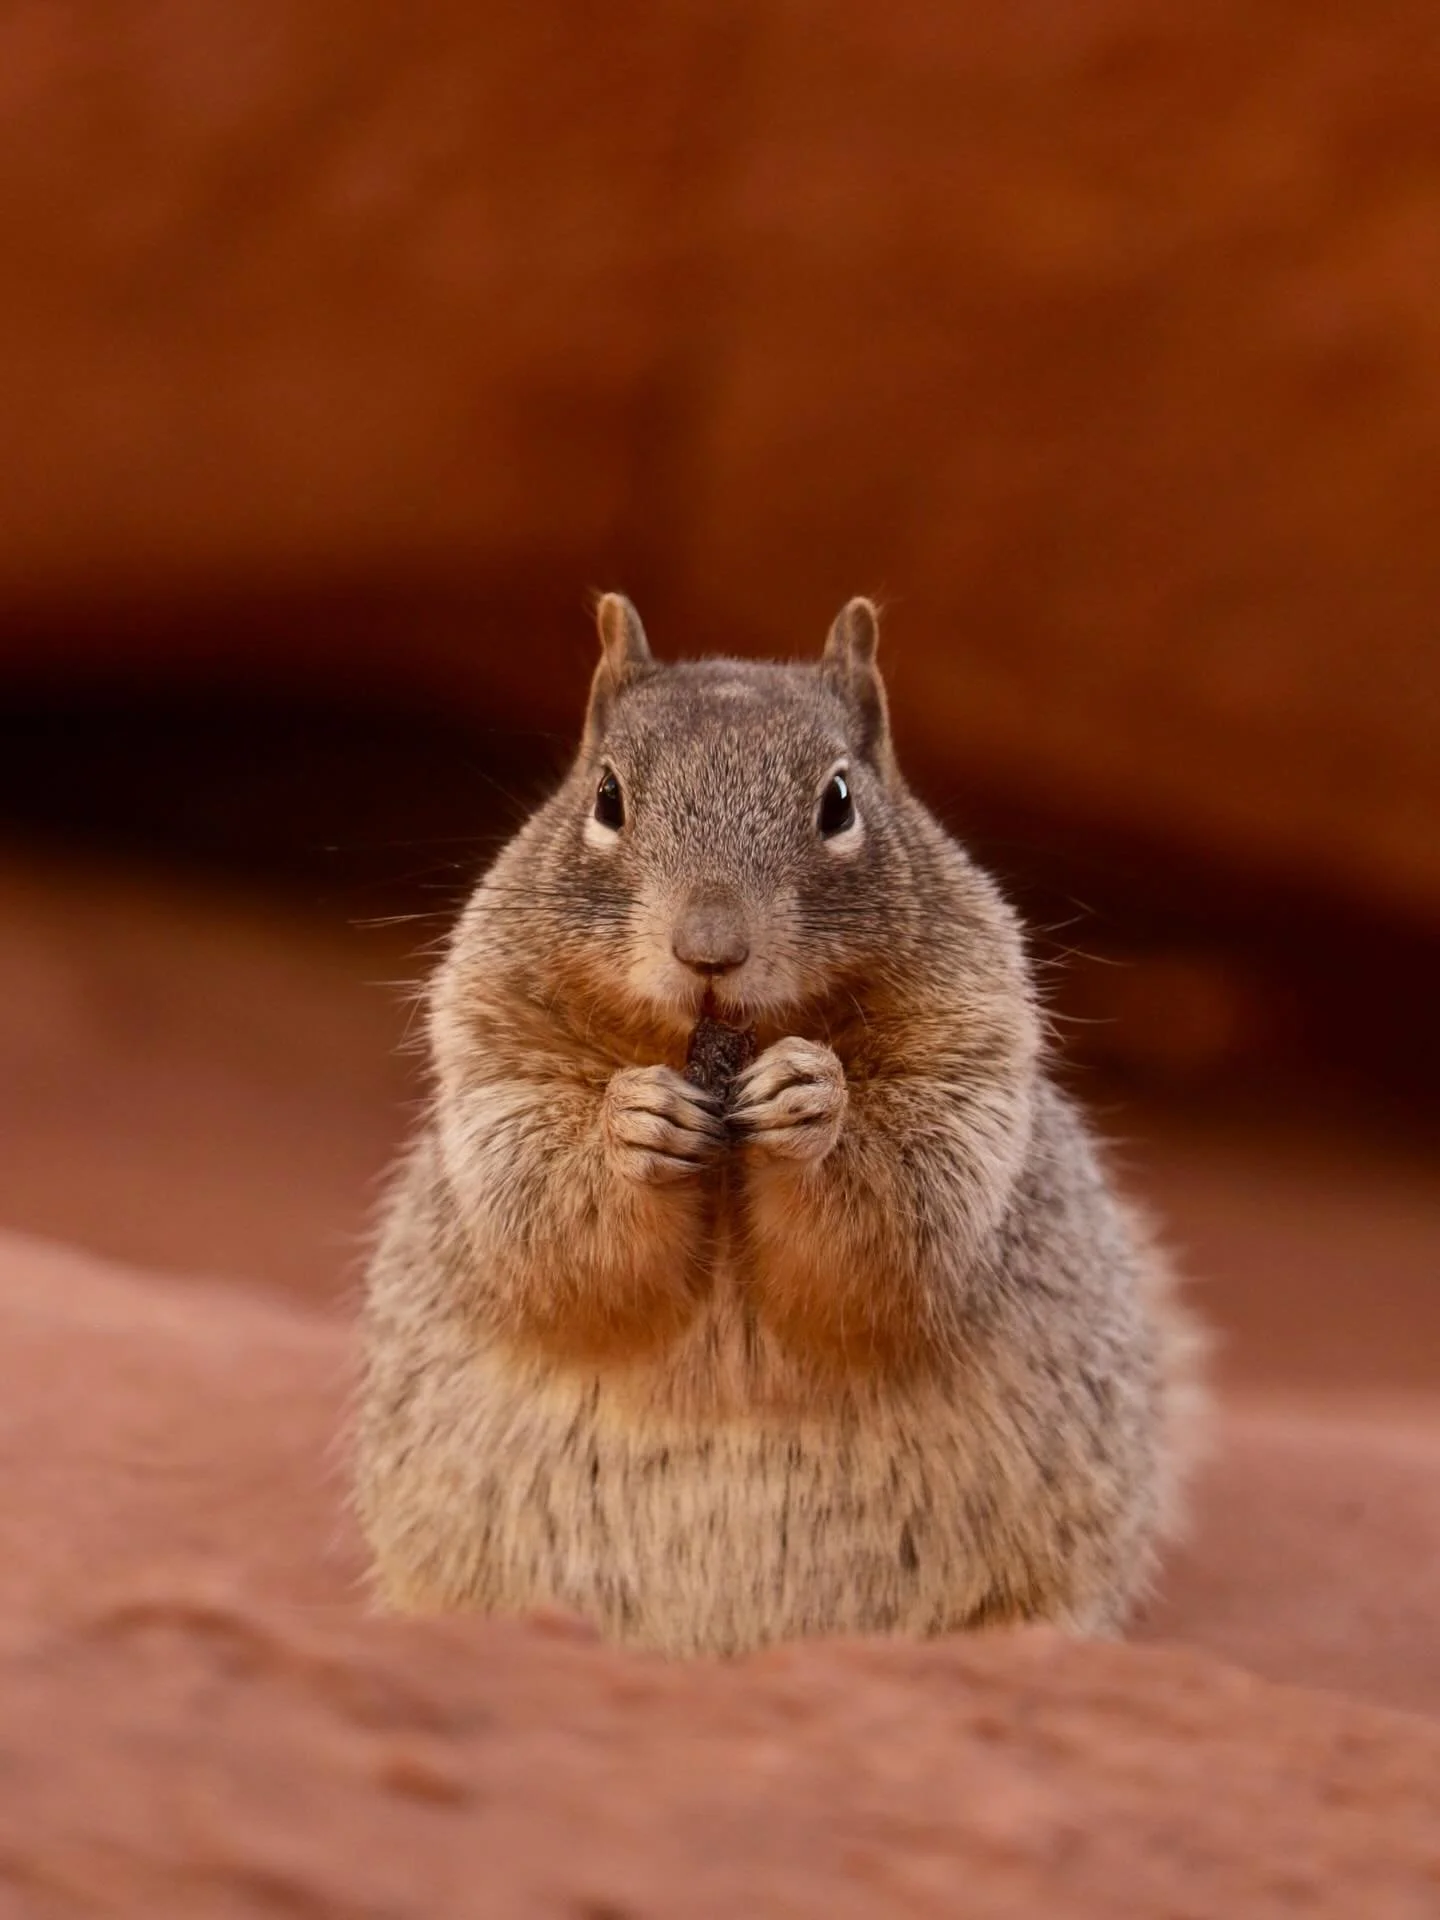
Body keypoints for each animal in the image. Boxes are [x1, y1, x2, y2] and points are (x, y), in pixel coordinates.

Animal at [355, 594, 1206, 1653]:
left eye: (838, 802)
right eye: (607, 797)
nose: (710, 948)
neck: (716, 1054)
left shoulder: (969, 1072)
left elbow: (895, 1231)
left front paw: (816, 1104)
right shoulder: (494, 1072)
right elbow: (552, 1229)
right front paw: (629, 1123)